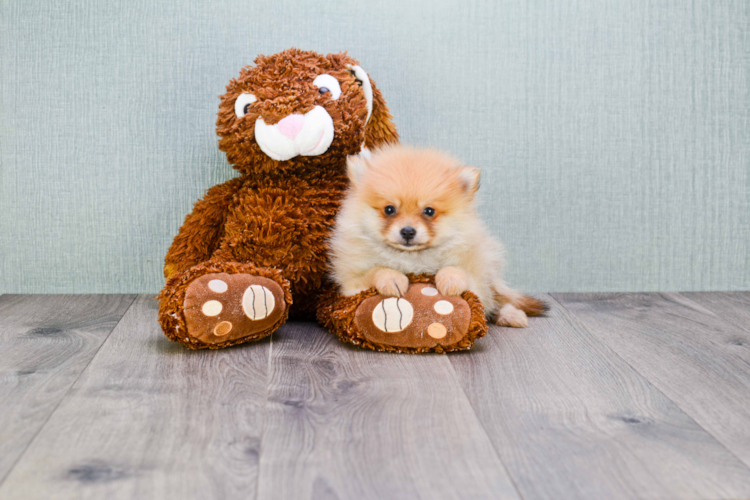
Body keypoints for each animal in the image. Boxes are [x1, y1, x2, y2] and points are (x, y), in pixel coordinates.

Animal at [332, 144, 544, 328]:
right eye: (389, 209)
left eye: (429, 211)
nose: (407, 231)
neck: (412, 258)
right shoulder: (350, 285)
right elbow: (375, 270)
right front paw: (391, 278)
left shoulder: (477, 282)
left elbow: (459, 271)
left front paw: (450, 279)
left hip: (491, 271)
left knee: (500, 299)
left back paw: (511, 315)